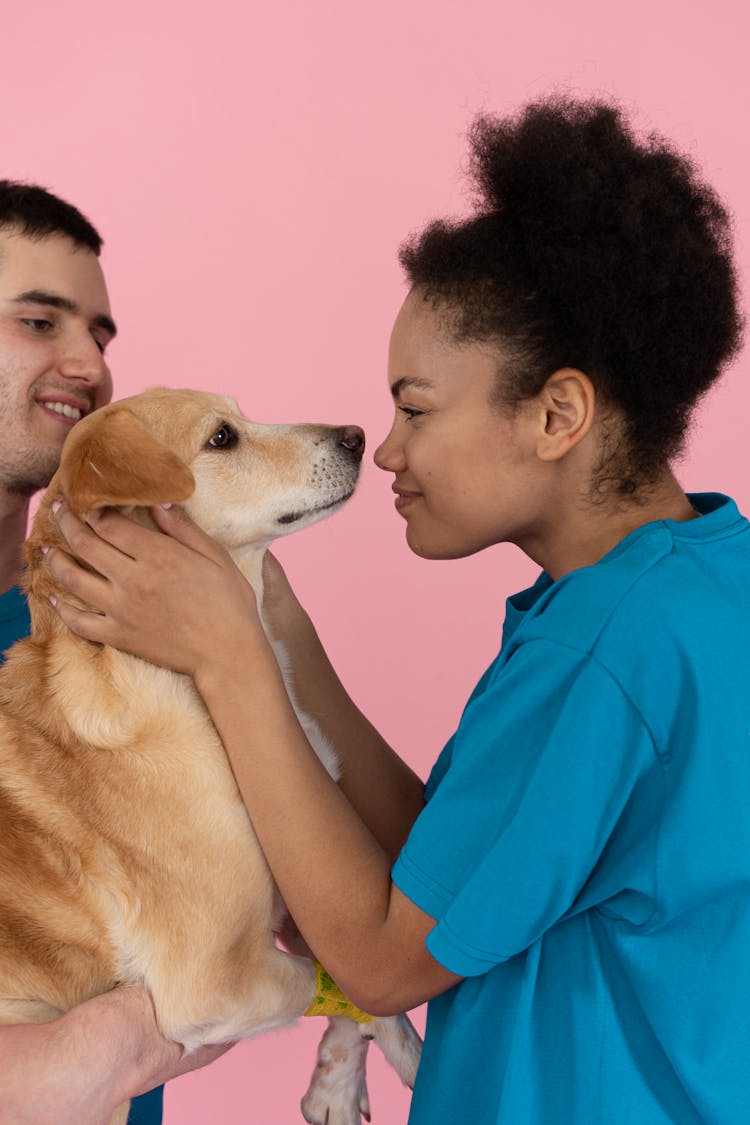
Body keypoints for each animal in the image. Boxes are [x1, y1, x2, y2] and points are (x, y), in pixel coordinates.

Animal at [0, 389, 422, 1125]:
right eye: (222, 438)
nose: (357, 435)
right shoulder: (214, 984)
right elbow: (330, 975)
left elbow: (350, 957)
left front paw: (347, 1076)